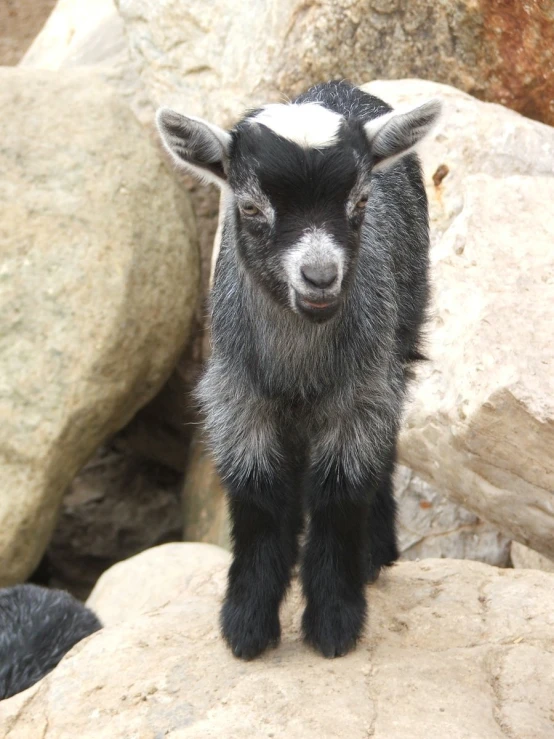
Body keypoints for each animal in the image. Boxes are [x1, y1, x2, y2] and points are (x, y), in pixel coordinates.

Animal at [156, 79, 440, 660]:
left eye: (360, 200)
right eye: (249, 206)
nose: (320, 276)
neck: (298, 365)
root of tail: (341, 87)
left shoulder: (360, 397)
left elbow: (340, 496)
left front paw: (334, 622)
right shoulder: (236, 399)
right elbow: (259, 501)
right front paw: (247, 624)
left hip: (400, 338)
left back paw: (376, 551)